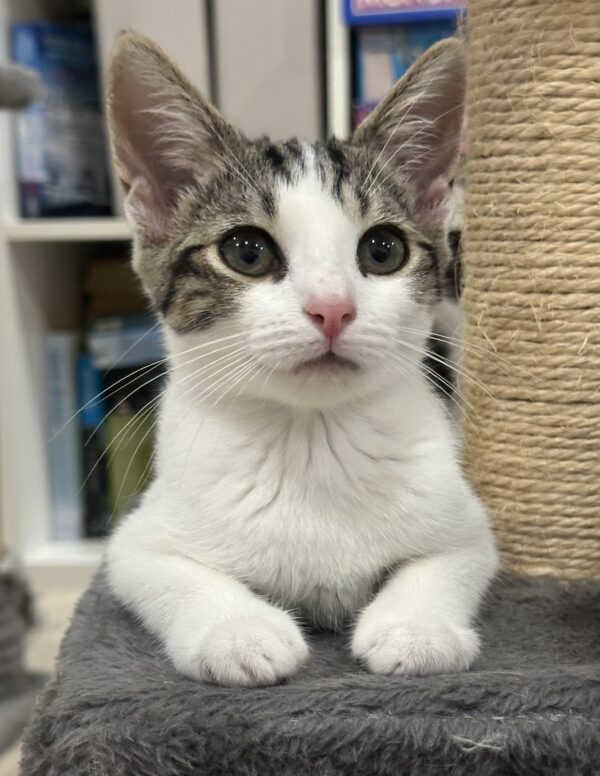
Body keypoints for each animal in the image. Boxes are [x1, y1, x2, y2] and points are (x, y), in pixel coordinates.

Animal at [106, 33, 496, 688]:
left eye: (383, 249)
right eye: (246, 251)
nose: (332, 308)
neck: (313, 439)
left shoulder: (467, 524)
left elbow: (446, 562)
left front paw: (414, 628)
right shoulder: (135, 541)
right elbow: (170, 572)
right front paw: (240, 631)